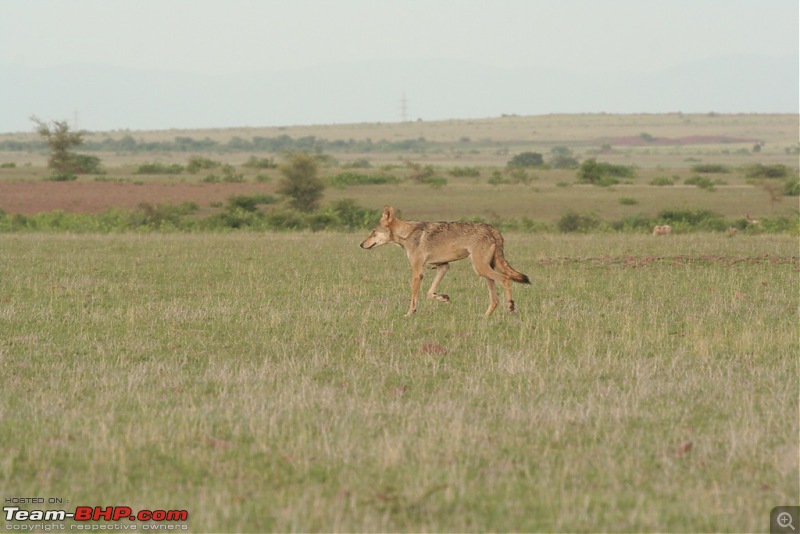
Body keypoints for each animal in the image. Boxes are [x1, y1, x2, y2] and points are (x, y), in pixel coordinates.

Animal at [360, 206, 528, 316]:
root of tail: (492, 228)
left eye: (373, 232)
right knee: (495, 299)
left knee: (505, 279)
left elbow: (414, 298)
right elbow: (429, 293)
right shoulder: (443, 267)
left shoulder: (417, 272)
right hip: (484, 272)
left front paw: (409, 314)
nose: (361, 244)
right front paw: (443, 298)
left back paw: (511, 306)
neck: (407, 234)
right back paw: (485, 317)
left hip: (481, 269)